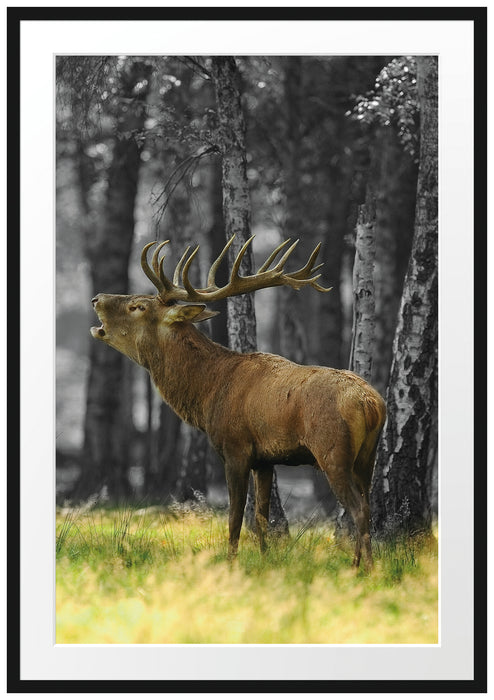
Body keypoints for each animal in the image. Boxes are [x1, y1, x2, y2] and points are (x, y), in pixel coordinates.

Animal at [90, 236, 386, 570]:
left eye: (137, 306)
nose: (97, 298)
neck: (208, 393)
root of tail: (371, 404)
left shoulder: (235, 448)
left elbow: (234, 519)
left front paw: (231, 564)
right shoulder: (266, 460)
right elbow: (261, 518)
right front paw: (265, 560)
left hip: (332, 450)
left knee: (358, 508)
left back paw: (363, 568)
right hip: (367, 456)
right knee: (368, 505)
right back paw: (362, 564)